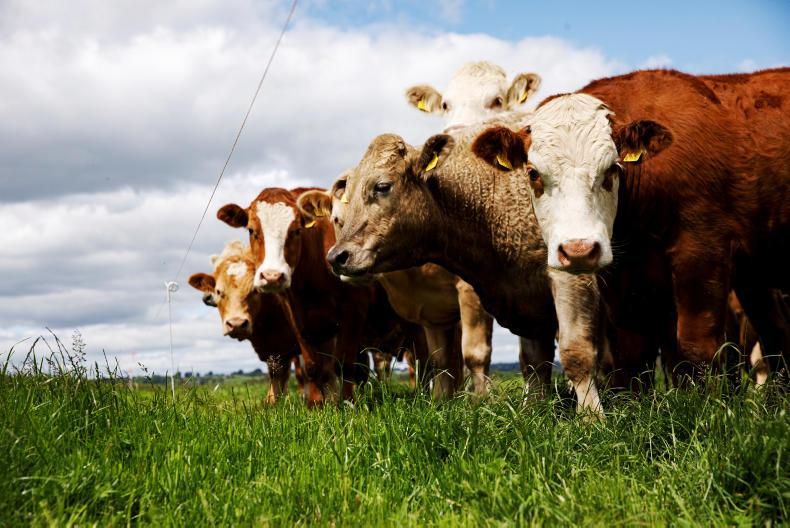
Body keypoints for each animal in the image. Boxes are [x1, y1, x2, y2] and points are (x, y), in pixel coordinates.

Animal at [323, 127, 606, 416]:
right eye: (337, 218)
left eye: (382, 186)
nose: (337, 257)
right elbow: (448, 362)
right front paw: (442, 403)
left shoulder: (568, 276)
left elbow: (569, 352)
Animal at [472, 68, 790, 376]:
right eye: (533, 173)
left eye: (612, 168)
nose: (578, 250)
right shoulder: (622, 280)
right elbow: (631, 356)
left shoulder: (702, 256)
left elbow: (696, 351)